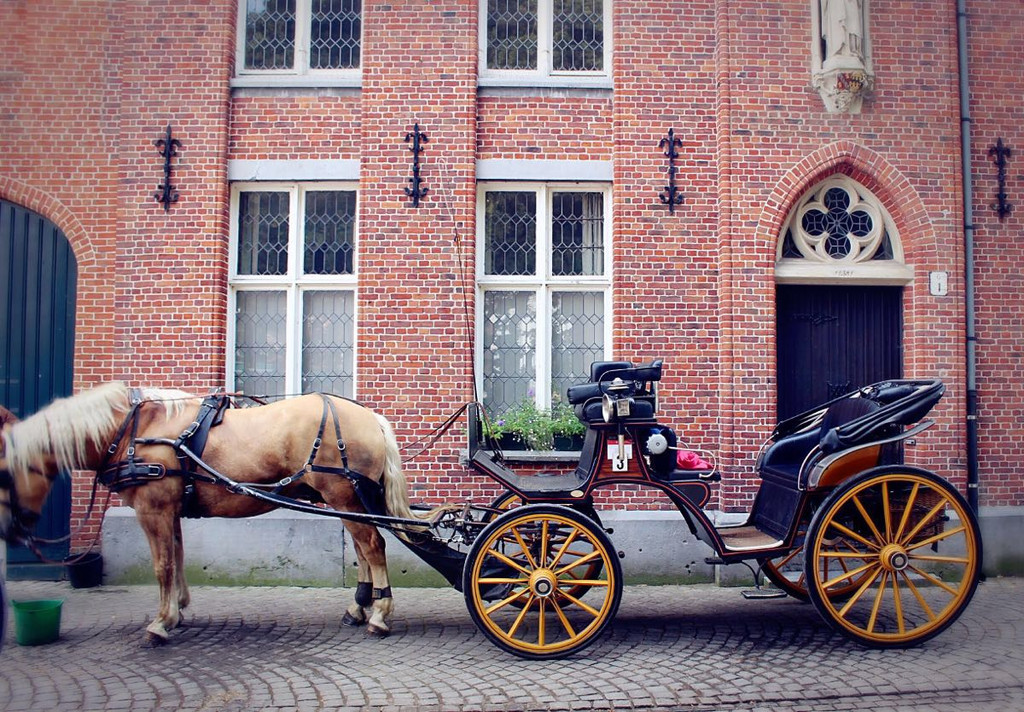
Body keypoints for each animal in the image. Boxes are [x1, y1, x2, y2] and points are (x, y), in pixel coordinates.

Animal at [0, 385, 423, 647]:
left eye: (4, 472)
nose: (9, 532)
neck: (134, 431)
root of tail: (368, 415)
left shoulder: (152, 509)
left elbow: (162, 566)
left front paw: (160, 623)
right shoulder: (169, 510)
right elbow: (177, 558)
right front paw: (177, 611)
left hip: (342, 496)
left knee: (372, 546)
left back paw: (379, 614)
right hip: (344, 499)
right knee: (363, 547)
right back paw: (358, 607)